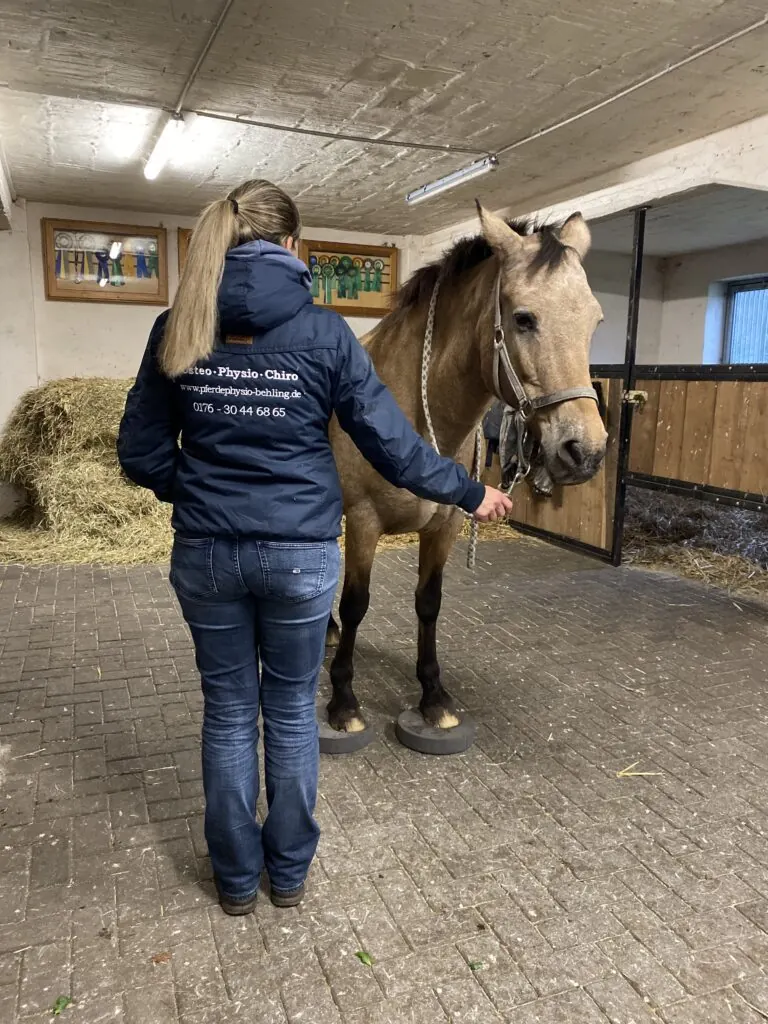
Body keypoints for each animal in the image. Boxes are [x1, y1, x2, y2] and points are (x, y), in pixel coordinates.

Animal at [325, 204, 608, 737]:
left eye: (595, 319)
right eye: (523, 319)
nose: (586, 450)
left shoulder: (446, 525)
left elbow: (429, 602)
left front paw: (434, 697)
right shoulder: (365, 521)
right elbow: (356, 604)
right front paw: (343, 702)